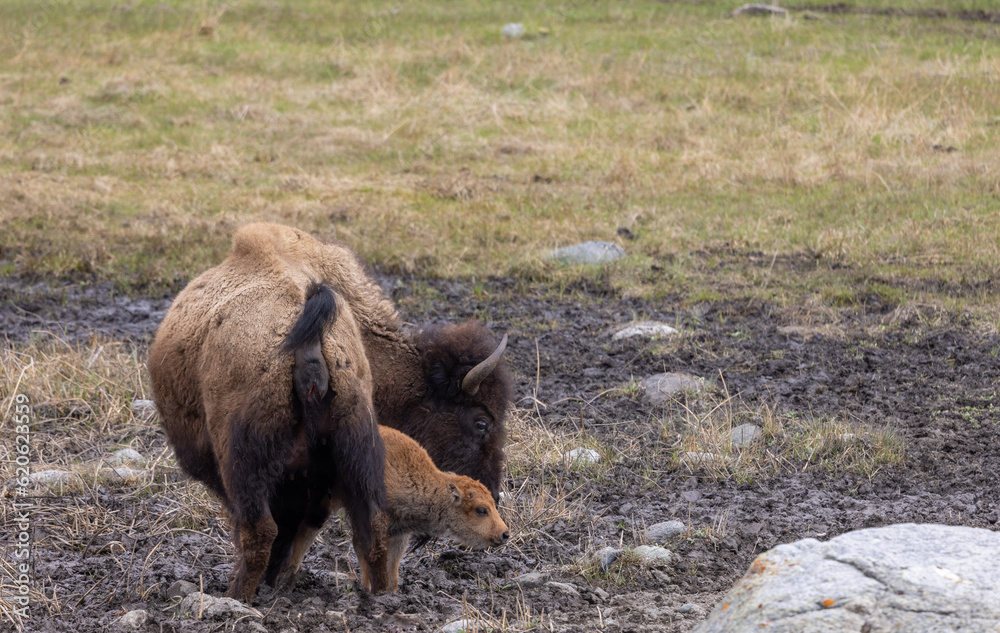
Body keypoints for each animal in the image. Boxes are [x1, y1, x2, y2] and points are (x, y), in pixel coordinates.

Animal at [148, 223, 513, 600]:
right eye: (481, 422)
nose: (492, 494)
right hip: (358, 441)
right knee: (370, 528)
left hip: (245, 461)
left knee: (261, 529)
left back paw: (239, 594)